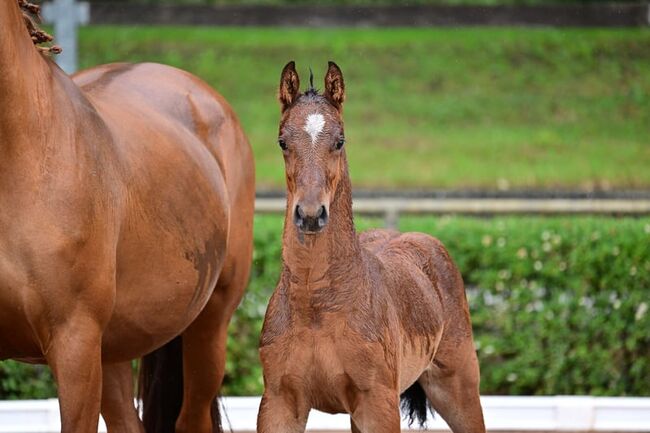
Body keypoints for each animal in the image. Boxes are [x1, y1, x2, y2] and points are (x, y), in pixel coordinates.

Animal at [256, 61, 484, 432]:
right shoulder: (279, 403)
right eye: (282, 141)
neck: (317, 306)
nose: (310, 214)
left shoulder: (378, 405)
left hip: (458, 388)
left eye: (339, 140)